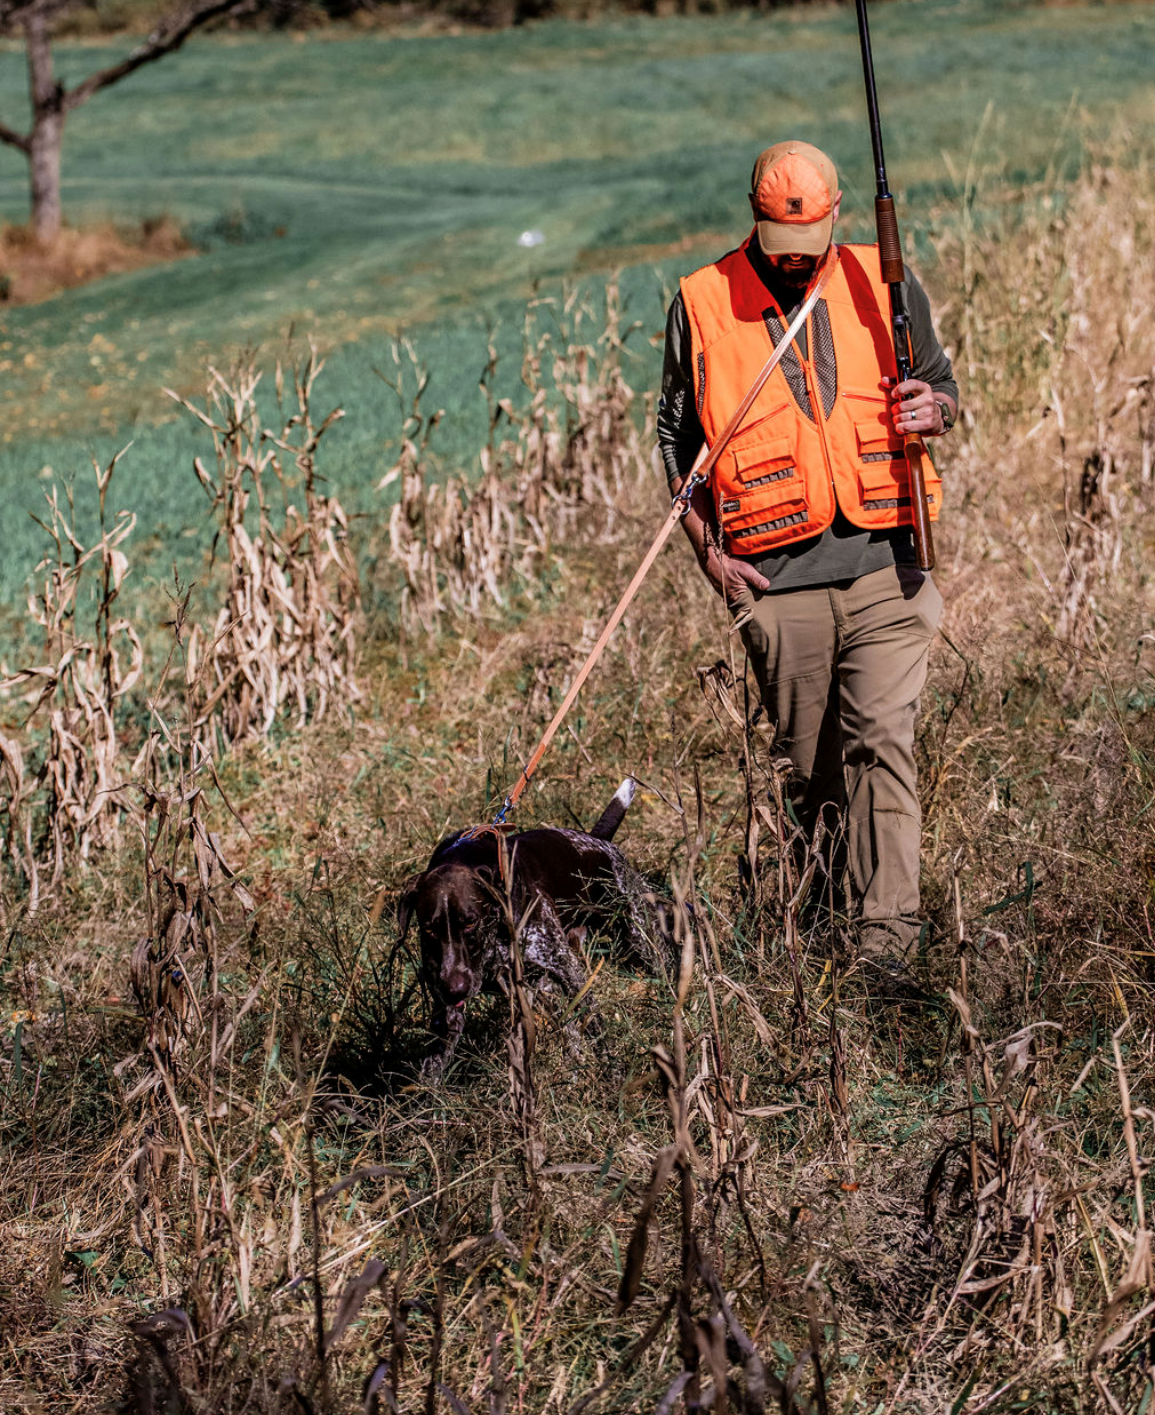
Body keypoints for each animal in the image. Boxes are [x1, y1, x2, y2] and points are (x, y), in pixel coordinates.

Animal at [401, 781, 662, 1064]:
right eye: (429, 928)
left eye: (470, 922)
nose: (455, 990)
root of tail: (598, 840)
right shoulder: (447, 1013)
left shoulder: (568, 971)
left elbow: (596, 1028)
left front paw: (613, 1071)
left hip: (642, 938)